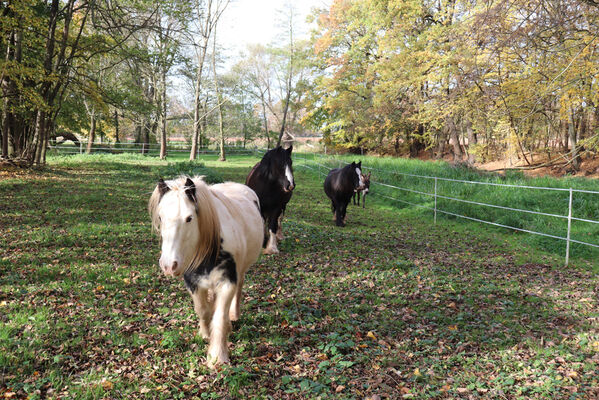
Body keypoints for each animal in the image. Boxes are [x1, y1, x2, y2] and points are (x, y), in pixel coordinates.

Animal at [148, 177, 262, 368]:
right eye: (160, 217)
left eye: (189, 218)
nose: (169, 265)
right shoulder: (193, 282)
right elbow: (203, 310)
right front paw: (205, 334)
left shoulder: (227, 283)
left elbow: (219, 316)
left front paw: (217, 356)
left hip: (241, 270)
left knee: (238, 288)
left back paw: (234, 316)